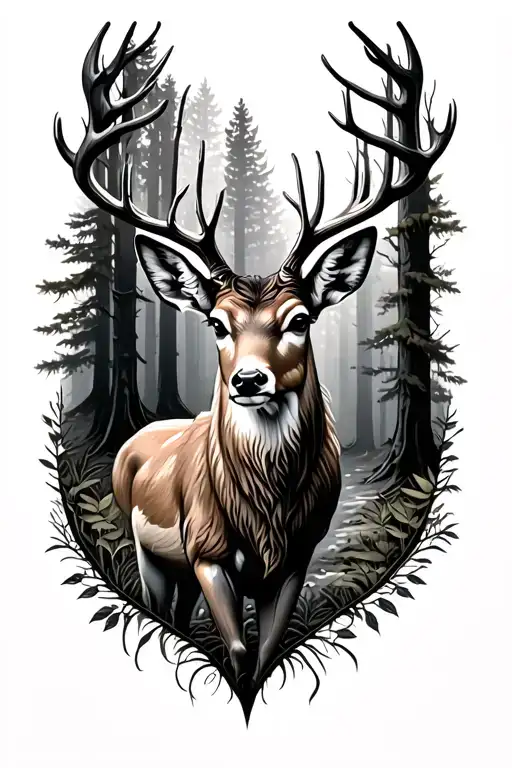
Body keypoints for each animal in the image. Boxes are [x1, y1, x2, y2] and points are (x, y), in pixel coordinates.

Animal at [54, 20, 456, 687]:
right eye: (216, 322)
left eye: (300, 319)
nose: (248, 380)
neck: (265, 517)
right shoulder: (206, 550)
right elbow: (240, 656)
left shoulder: (296, 557)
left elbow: (265, 652)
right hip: (152, 550)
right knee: (163, 603)